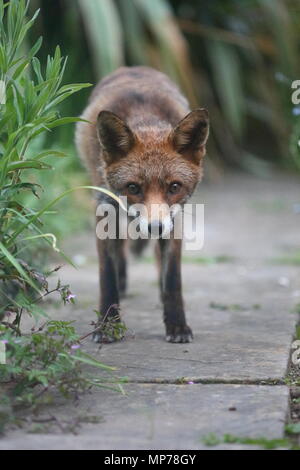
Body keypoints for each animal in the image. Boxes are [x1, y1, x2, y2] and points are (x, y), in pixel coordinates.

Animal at [75, 66, 209, 344]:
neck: (145, 121)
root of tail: (134, 68)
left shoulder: (174, 221)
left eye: (174, 187)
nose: (154, 227)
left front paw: (177, 325)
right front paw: (108, 326)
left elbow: (172, 279)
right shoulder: (104, 212)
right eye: (133, 188)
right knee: (121, 252)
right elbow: (107, 276)